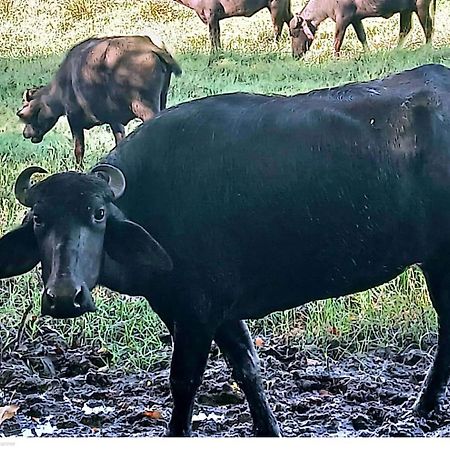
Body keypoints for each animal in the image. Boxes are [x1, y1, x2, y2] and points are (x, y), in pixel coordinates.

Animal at [2, 63, 450, 436]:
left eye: (97, 214)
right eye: (38, 219)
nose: (65, 297)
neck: (154, 196)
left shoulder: (196, 313)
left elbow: (184, 381)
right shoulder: (216, 312)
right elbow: (247, 368)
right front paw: (269, 428)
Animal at [16, 34, 181, 165]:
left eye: (22, 114)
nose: (25, 133)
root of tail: (150, 47)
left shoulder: (73, 119)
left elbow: (79, 149)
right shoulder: (115, 121)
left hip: (144, 107)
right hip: (161, 100)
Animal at [292, 0, 436, 57]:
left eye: (294, 33)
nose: (295, 55)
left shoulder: (342, 19)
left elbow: (337, 42)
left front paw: (336, 58)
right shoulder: (355, 19)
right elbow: (362, 36)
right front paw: (368, 53)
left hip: (421, 6)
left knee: (428, 27)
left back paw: (427, 49)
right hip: (406, 10)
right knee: (405, 29)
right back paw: (395, 51)